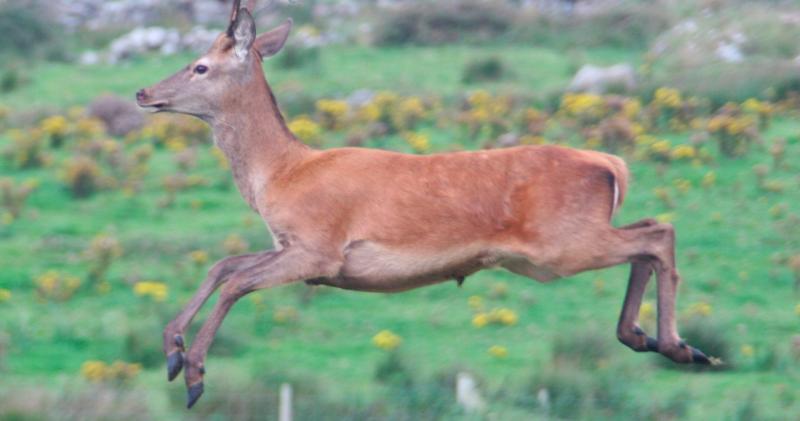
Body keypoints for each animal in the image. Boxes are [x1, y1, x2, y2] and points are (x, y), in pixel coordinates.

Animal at [136, 0, 713, 409]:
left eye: (200, 66)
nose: (143, 93)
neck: (281, 174)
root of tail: (611, 163)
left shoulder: (320, 247)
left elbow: (237, 281)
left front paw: (193, 374)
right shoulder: (297, 249)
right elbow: (224, 264)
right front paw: (170, 348)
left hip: (561, 243)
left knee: (658, 234)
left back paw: (677, 344)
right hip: (573, 235)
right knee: (648, 229)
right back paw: (645, 337)